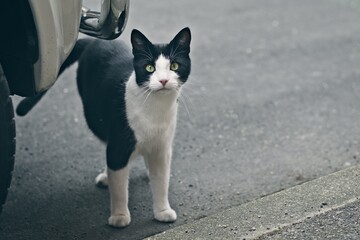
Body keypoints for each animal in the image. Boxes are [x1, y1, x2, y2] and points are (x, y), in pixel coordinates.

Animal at [17, 27, 191, 228]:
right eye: (150, 68)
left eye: (174, 66)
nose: (163, 81)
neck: (155, 111)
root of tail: (94, 41)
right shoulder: (119, 144)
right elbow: (119, 186)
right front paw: (119, 216)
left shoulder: (162, 148)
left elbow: (161, 182)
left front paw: (162, 211)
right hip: (93, 115)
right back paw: (108, 176)